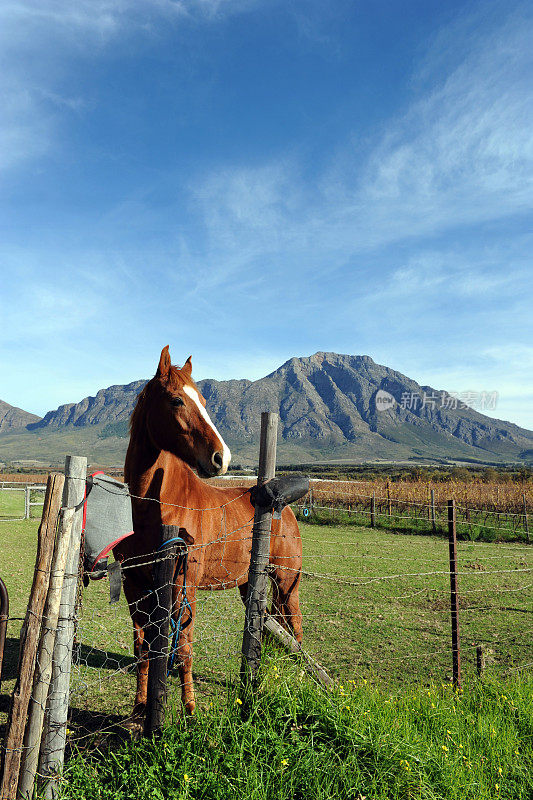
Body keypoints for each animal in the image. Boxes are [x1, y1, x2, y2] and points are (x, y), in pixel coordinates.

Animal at [114, 346, 302, 716]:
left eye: (202, 400)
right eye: (176, 400)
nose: (221, 458)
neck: (155, 507)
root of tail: (284, 507)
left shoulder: (183, 587)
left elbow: (182, 650)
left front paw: (189, 709)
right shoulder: (135, 587)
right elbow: (142, 650)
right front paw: (140, 706)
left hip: (288, 582)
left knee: (297, 629)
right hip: (250, 585)